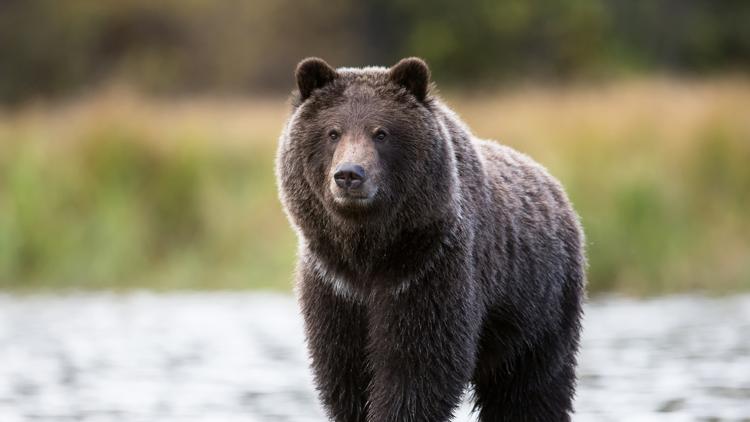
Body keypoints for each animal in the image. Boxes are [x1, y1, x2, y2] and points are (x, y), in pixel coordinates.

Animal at [276, 56, 588, 422]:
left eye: (381, 132)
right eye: (332, 132)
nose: (349, 175)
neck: (370, 250)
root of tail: (556, 188)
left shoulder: (428, 270)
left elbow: (417, 366)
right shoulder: (334, 284)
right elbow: (344, 370)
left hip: (539, 308)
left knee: (531, 390)